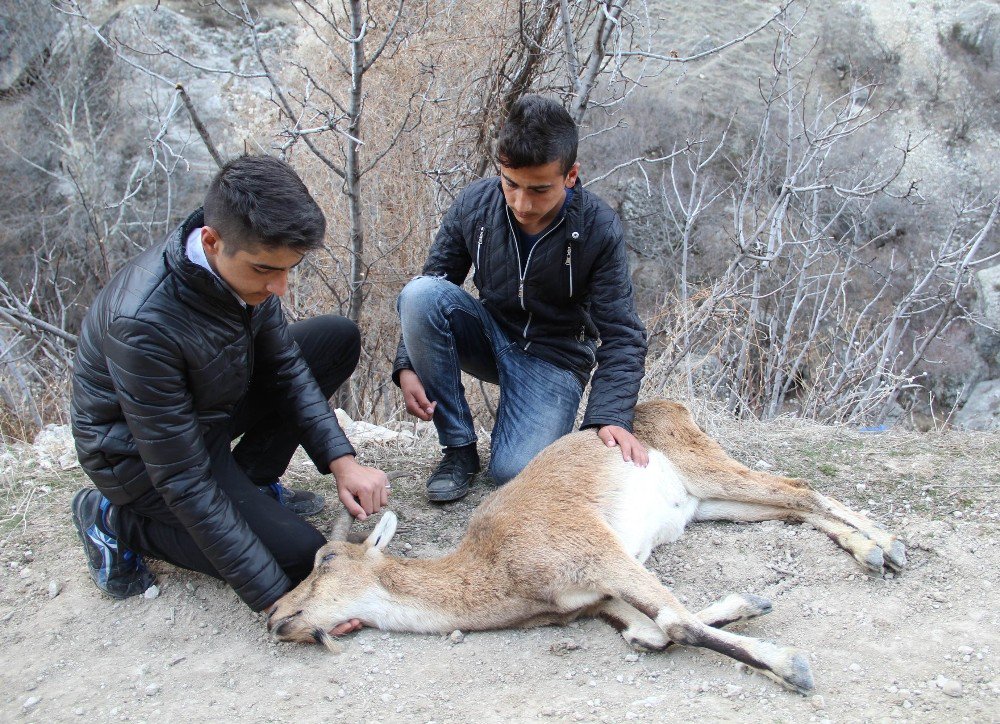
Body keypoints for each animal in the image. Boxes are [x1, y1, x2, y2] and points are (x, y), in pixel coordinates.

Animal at [266, 398, 908, 692]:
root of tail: (671, 404)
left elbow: (675, 621)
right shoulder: (598, 597)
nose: (275, 614)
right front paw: (752, 601)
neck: (494, 571)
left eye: (326, 561)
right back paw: (871, 550)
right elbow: (649, 631)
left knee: (799, 487)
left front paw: (791, 664)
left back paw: (890, 547)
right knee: (793, 505)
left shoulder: (600, 552)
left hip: (710, 470)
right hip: (708, 503)